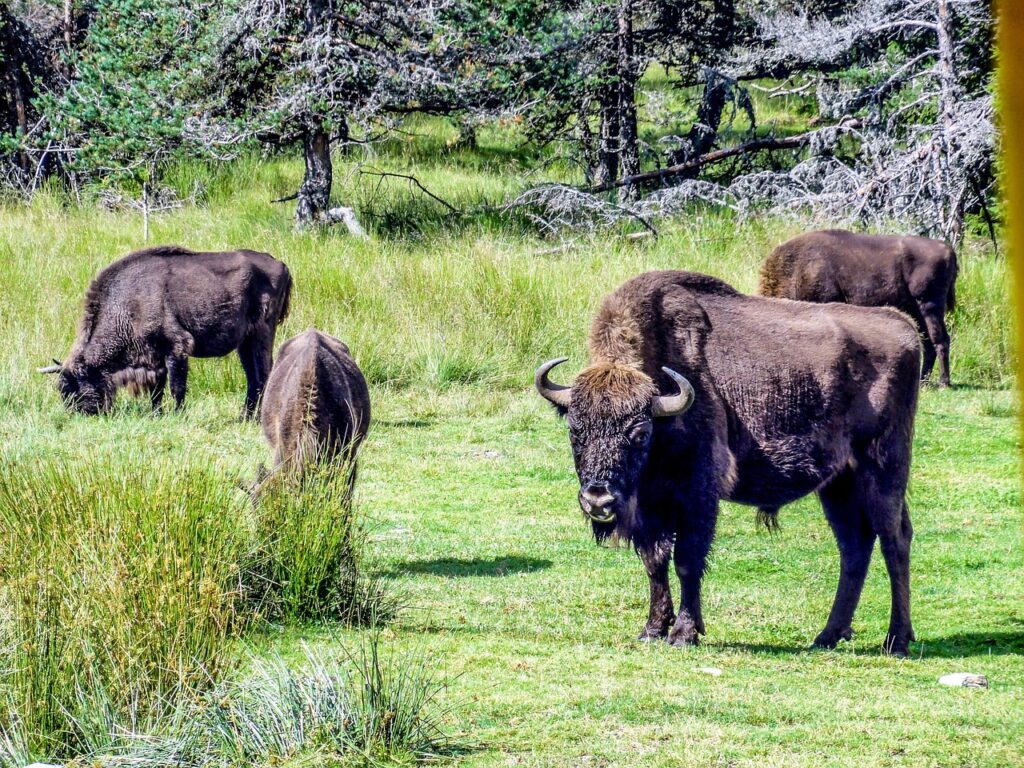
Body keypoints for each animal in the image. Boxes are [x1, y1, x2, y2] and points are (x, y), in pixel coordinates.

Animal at [39, 246, 292, 416]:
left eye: (75, 388)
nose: (83, 415)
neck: (128, 303)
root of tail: (280, 264)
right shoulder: (154, 358)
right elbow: (156, 390)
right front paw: (156, 414)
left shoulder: (176, 349)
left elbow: (176, 387)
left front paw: (178, 414)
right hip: (245, 343)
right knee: (253, 379)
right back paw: (244, 418)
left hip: (262, 335)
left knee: (263, 374)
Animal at [536, 270, 921, 655]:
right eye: (574, 430)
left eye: (640, 433)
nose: (598, 500)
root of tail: (904, 326)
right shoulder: (649, 504)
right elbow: (654, 562)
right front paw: (652, 629)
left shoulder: (697, 496)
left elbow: (687, 561)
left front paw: (684, 633)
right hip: (838, 484)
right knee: (854, 545)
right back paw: (827, 636)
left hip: (883, 470)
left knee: (894, 540)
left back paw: (897, 640)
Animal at [759, 229, 957, 386]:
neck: (798, 270)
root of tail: (948, 249)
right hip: (916, 310)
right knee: (929, 343)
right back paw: (924, 381)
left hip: (929, 306)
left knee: (940, 340)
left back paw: (943, 382)